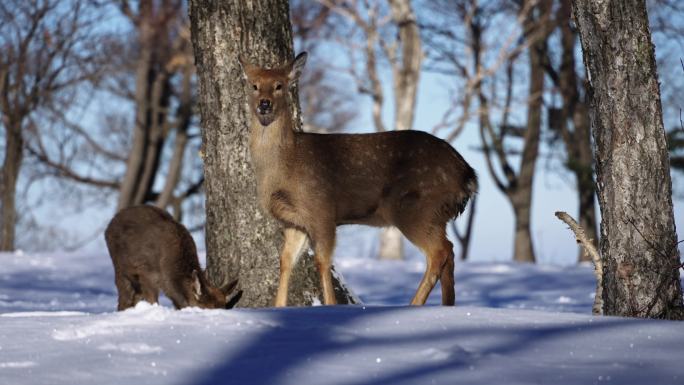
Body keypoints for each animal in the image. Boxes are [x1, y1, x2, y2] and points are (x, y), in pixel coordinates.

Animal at [103, 204, 238, 308]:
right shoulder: (146, 273)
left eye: (224, 308)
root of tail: (107, 229)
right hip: (120, 267)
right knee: (123, 298)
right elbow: (153, 301)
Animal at [239, 52, 476, 306]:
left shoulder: (321, 210)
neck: (285, 165)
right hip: (436, 214)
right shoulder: (294, 222)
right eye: (254, 85)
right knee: (449, 251)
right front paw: (279, 307)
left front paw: (330, 306)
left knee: (439, 252)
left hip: (417, 207)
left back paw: (414, 305)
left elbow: (322, 261)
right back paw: (446, 305)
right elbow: (285, 261)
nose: (264, 104)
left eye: (279, 86)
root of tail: (468, 174)